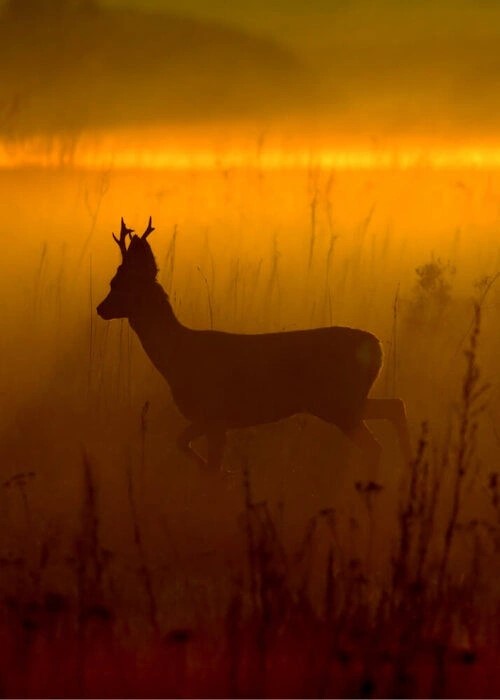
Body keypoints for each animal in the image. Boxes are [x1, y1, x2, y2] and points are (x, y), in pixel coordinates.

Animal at [97, 217, 410, 470]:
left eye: (119, 283)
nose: (101, 309)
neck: (177, 356)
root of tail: (378, 347)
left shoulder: (214, 415)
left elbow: (205, 462)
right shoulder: (212, 420)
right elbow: (182, 443)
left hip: (338, 403)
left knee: (376, 443)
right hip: (346, 401)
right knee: (395, 406)